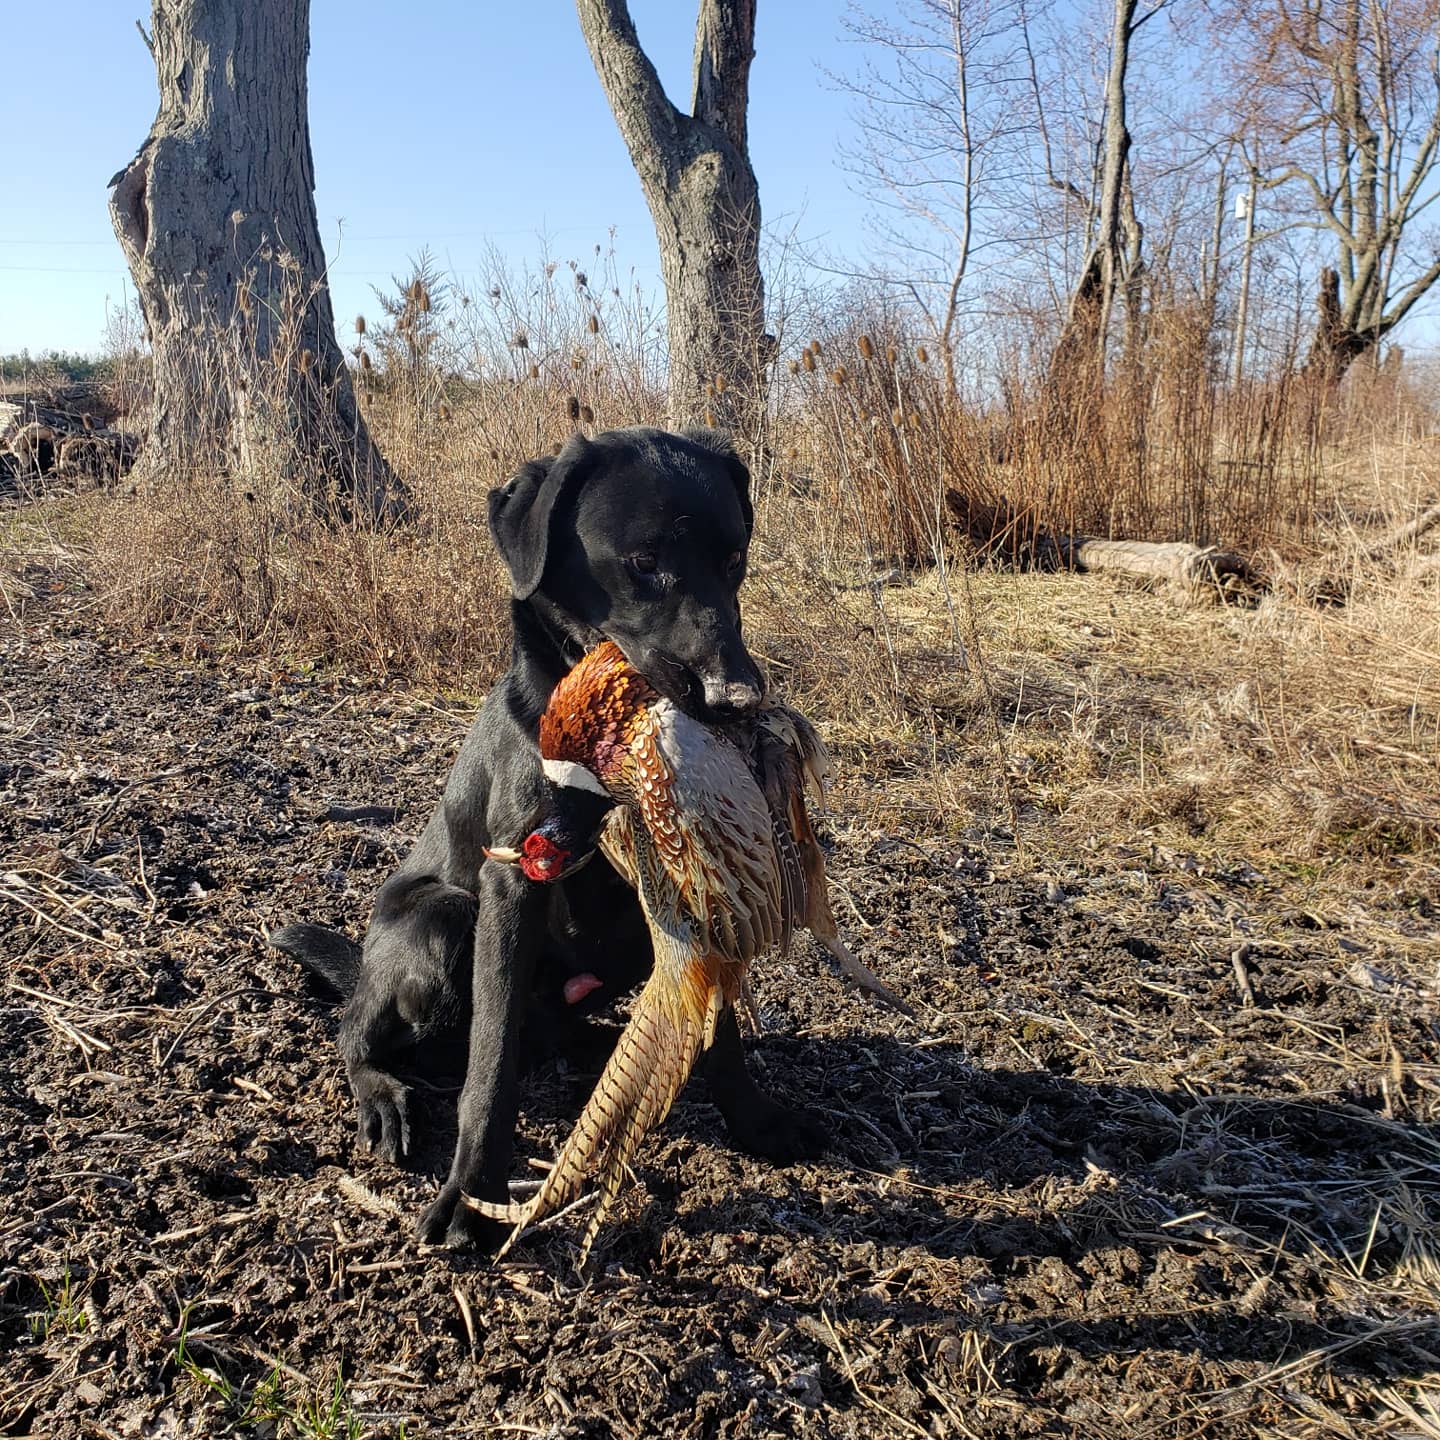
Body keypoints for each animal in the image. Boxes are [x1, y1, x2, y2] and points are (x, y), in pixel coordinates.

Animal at [270, 420, 829, 1244]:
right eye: (643, 563)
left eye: (734, 560)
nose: (737, 697)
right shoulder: (514, 878)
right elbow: (492, 1063)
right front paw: (472, 1194)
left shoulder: (695, 886)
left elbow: (715, 1020)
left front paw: (756, 1119)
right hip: (442, 919)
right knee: (364, 1031)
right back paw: (383, 1096)